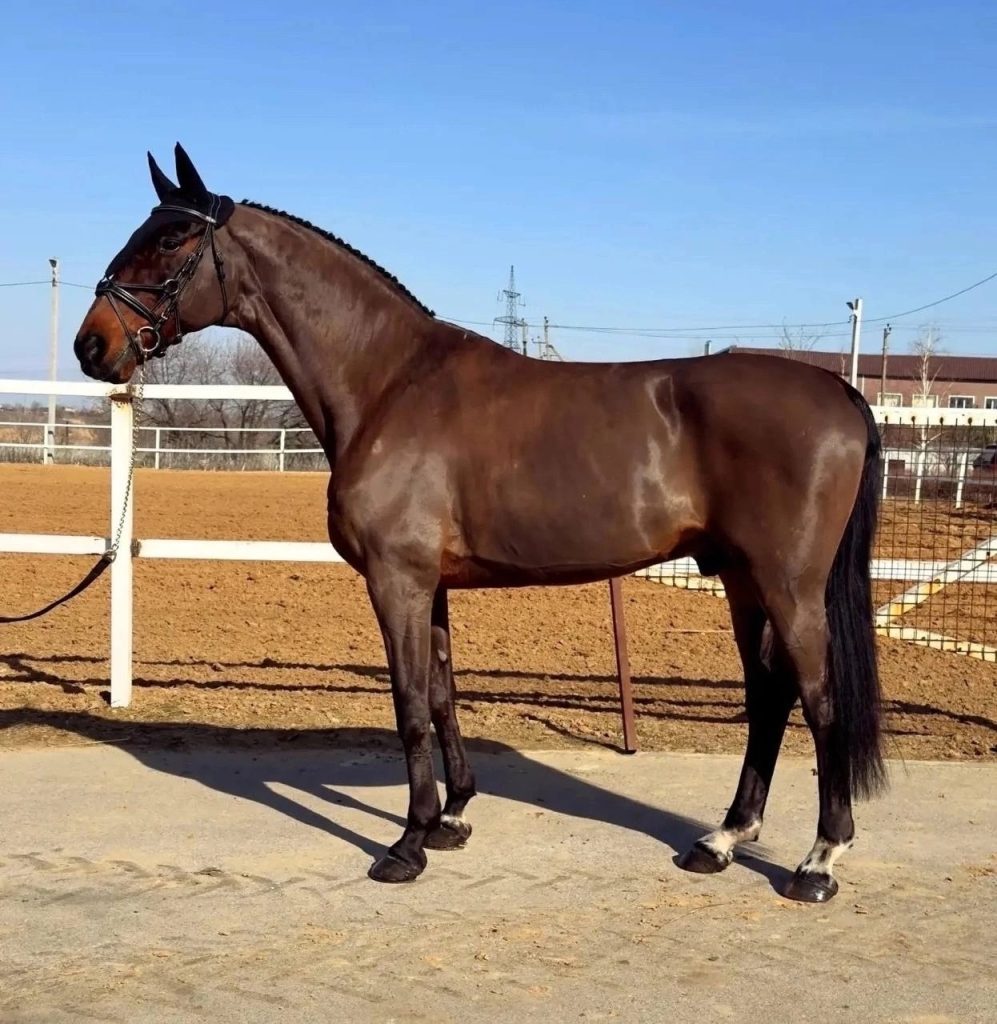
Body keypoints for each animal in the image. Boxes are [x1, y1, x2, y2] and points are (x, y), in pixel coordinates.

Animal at [74, 144, 886, 902]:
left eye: (171, 239)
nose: (92, 345)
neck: (390, 382)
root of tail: (839, 393)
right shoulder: (428, 585)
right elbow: (441, 694)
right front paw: (451, 816)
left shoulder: (396, 581)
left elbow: (407, 705)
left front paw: (406, 845)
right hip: (742, 581)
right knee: (768, 696)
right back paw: (720, 840)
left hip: (788, 587)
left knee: (818, 700)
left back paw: (818, 861)